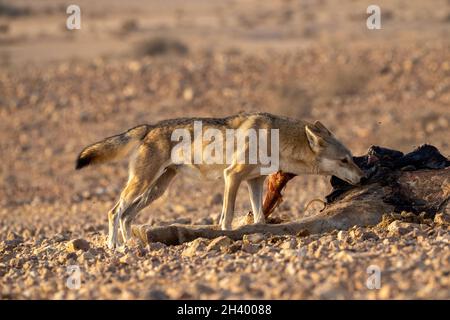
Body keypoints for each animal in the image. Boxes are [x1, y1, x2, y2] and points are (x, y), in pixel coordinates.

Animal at [75, 113, 364, 250]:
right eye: (344, 160)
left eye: (351, 158)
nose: (363, 176)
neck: (276, 140)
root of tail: (149, 127)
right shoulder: (232, 176)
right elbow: (226, 217)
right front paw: (226, 237)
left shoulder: (255, 181)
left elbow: (260, 217)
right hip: (143, 184)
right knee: (115, 211)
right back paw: (114, 245)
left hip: (156, 190)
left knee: (127, 215)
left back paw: (129, 244)